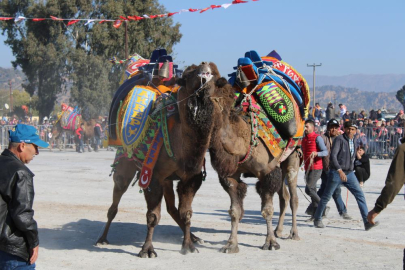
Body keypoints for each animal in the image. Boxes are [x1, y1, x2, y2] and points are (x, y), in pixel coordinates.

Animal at [96, 61, 223, 258]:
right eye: (188, 74)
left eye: (216, 76)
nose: (204, 65)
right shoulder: (152, 176)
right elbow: (153, 216)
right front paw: (147, 250)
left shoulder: (190, 178)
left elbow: (186, 213)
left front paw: (188, 246)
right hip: (125, 165)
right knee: (115, 202)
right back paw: (102, 238)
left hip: (167, 180)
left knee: (172, 209)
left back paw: (195, 238)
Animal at [177, 62, 304, 251]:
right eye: (187, 75)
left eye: (215, 76)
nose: (203, 65)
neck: (242, 143)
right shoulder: (231, 175)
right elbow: (234, 211)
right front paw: (231, 244)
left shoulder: (267, 172)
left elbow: (267, 210)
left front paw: (270, 243)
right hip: (279, 165)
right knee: (284, 197)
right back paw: (278, 230)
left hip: (292, 157)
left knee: (293, 196)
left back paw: (293, 233)